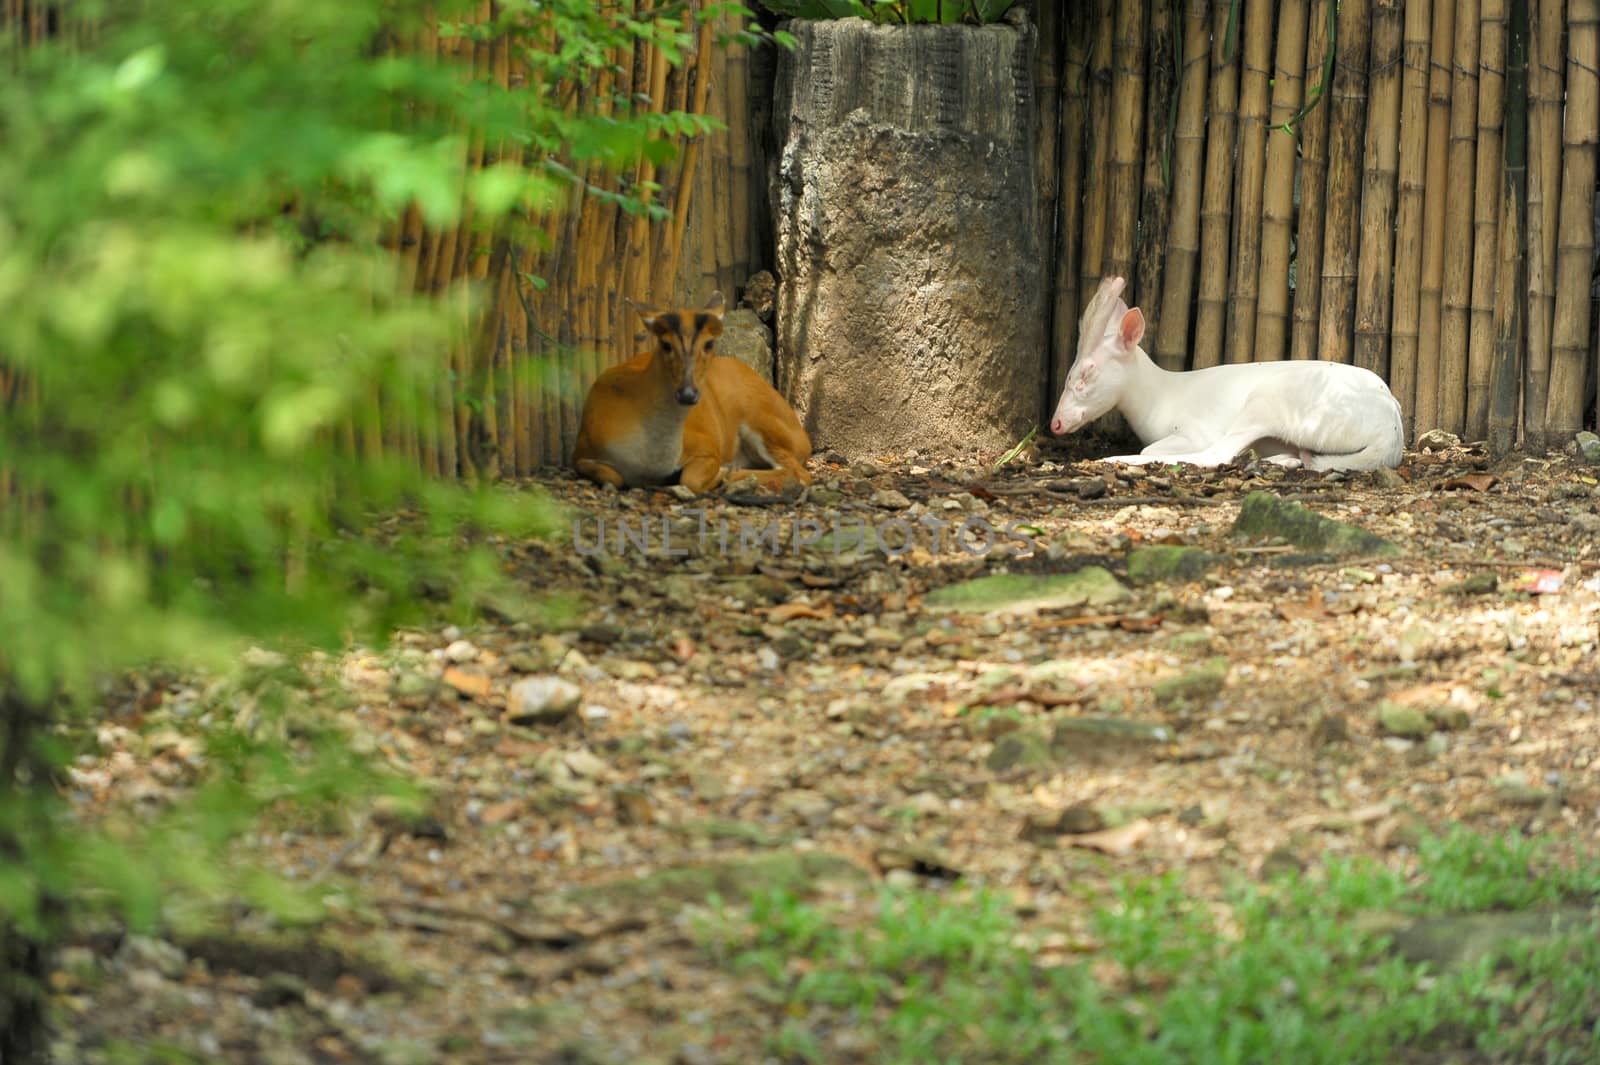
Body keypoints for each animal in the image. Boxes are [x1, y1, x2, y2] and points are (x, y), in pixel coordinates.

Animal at [1056, 275, 1408, 470]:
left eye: (1086, 373)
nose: (1055, 423)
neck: (1159, 395)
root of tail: (1389, 432)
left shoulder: (1194, 430)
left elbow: (1160, 448)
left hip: (1269, 402)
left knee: (1217, 455)